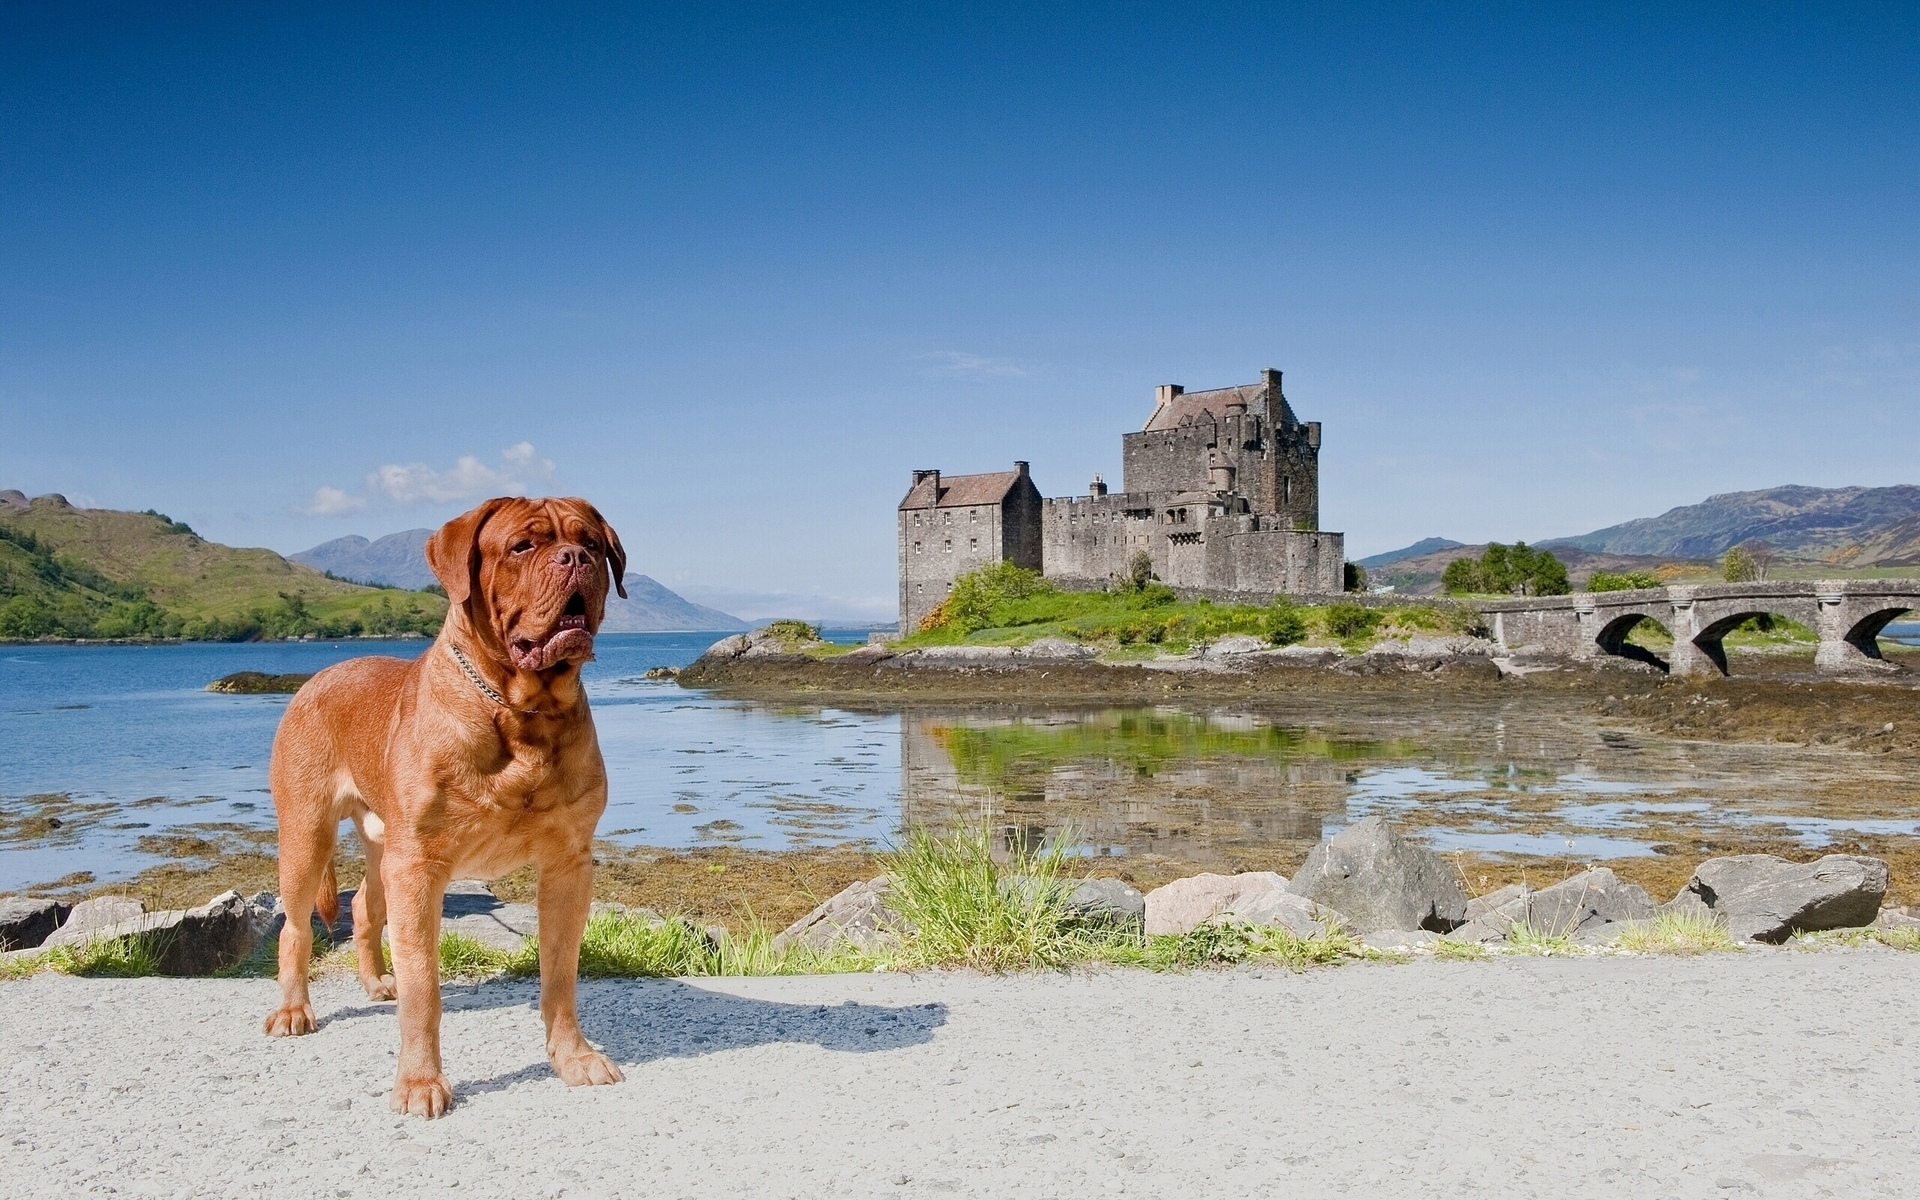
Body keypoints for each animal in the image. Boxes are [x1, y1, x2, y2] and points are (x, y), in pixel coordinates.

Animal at [266, 495, 629, 1113]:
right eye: (522, 546)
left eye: (593, 545)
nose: (575, 558)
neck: (520, 711)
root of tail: (316, 676)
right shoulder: (419, 867)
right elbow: (424, 989)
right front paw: (420, 1082)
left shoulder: (568, 864)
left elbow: (560, 974)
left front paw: (573, 1058)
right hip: (307, 834)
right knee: (295, 927)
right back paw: (294, 1009)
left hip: (382, 845)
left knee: (364, 907)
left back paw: (375, 982)